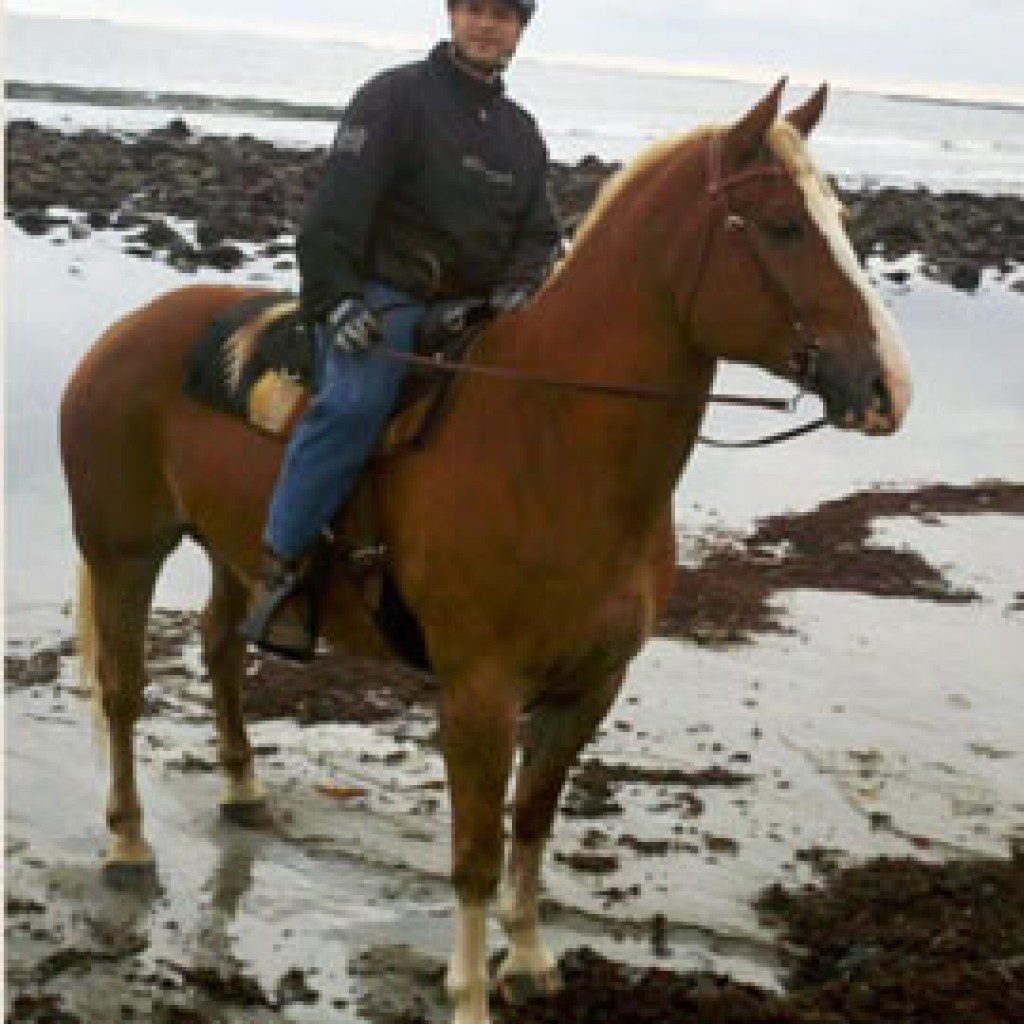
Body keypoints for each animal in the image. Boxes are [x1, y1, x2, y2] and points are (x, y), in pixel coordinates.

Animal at [61, 81, 913, 1024]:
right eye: (783, 226)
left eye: (839, 217)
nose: (888, 386)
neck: (550, 431)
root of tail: (124, 333)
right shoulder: (479, 693)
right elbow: (474, 851)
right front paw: (470, 993)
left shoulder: (589, 687)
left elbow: (533, 823)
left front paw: (530, 961)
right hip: (123, 550)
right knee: (123, 693)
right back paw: (129, 845)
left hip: (233, 553)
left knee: (219, 650)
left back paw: (243, 790)